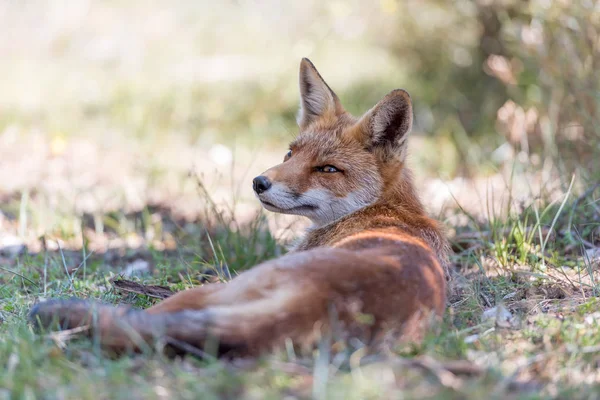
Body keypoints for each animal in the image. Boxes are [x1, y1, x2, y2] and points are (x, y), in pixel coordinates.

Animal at [29, 58, 450, 356]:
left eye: (328, 169)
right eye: (290, 154)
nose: (259, 182)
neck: (388, 209)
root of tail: (322, 301)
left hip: (214, 291)